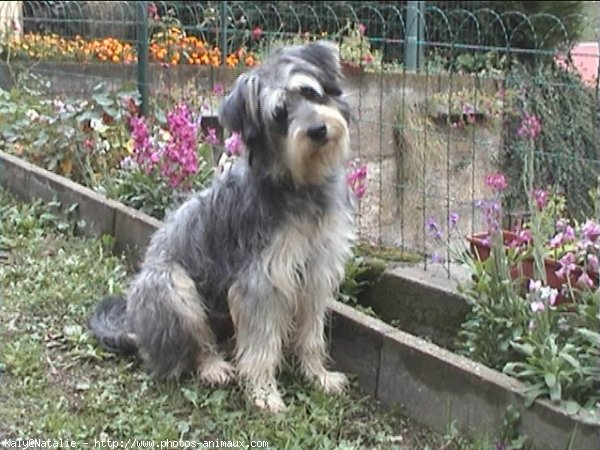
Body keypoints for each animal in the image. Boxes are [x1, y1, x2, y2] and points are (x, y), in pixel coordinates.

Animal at [89, 40, 356, 414]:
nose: (318, 130)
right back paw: (214, 368)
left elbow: (311, 336)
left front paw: (318, 376)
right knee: (195, 347)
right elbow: (260, 347)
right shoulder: (260, 283)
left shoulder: (316, 273)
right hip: (173, 287)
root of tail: (136, 331)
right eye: (279, 114)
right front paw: (264, 394)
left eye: (309, 92)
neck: (300, 184)